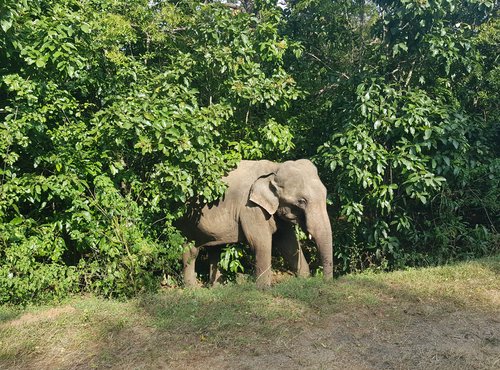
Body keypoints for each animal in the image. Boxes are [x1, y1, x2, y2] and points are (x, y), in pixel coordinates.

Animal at [179, 158, 332, 286]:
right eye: (301, 201)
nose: (324, 282)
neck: (275, 168)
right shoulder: (251, 208)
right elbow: (260, 242)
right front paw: (263, 289)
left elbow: (288, 242)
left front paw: (305, 280)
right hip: (186, 218)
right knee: (191, 250)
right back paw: (193, 289)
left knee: (216, 249)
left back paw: (216, 288)